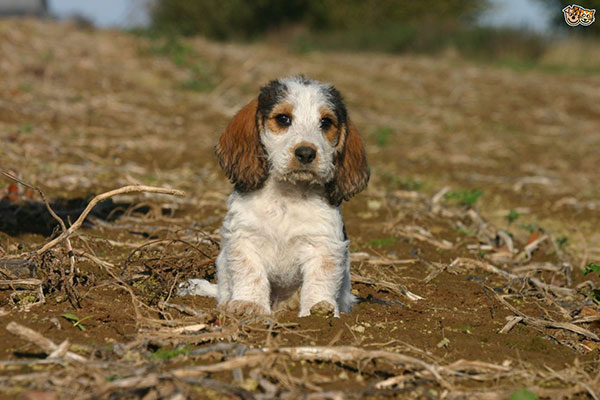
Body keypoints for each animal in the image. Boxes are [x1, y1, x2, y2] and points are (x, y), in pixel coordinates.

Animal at [180, 76, 368, 318]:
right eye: (283, 119)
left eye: (326, 123)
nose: (306, 153)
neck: (287, 195)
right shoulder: (245, 238)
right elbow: (251, 273)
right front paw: (249, 305)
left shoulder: (323, 246)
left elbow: (319, 282)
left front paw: (317, 312)